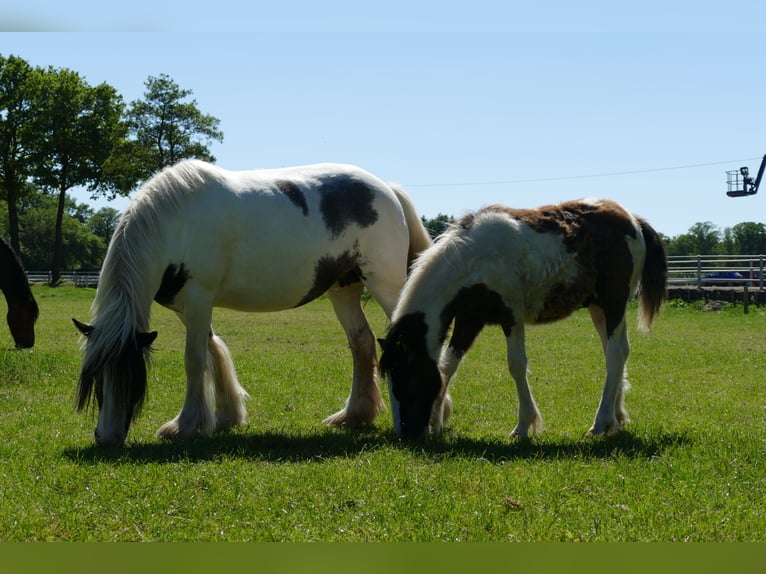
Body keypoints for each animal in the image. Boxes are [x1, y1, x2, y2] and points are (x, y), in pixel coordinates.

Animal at [72, 160, 432, 446]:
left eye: (131, 375)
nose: (106, 437)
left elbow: (194, 359)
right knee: (362, 343)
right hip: (343, 291)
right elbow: (213, 350)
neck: (176, 225)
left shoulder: (199, 297)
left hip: (387, 288)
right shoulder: (187, 307)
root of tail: (387, 189)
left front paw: (185, 425)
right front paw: (226, 415)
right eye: (96, 378)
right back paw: (354, 415)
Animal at [379, 198, 667, 438]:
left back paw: (600, 423)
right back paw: (615, 419)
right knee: (616, 353)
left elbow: (516, 365)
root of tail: (633, 220)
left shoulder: (512, 316)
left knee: (616, 353)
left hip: (613, 303)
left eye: (406, 378)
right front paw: (438, 423)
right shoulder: (469, 318)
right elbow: (448, 365)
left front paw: (523, 426)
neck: (473, 259)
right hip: (598, 308)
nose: (407, 433)